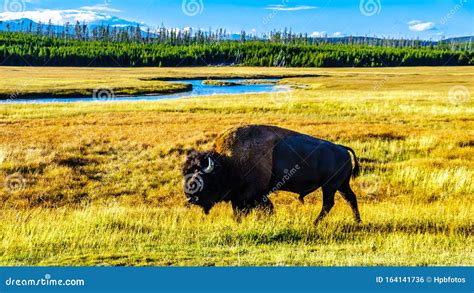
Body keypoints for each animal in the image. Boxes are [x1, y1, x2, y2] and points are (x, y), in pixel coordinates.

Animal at [183, 125, 362, 224]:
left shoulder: (253, 194)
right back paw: (357, 221)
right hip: (341, 185)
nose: (190, 198)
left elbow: (261, 208)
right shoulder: (240, 196)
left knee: (328, 204)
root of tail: (341, 148)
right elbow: (243, 210)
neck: (227, 162)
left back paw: (315, 223)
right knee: (350, 199)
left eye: (202, 178)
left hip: (330, 186)